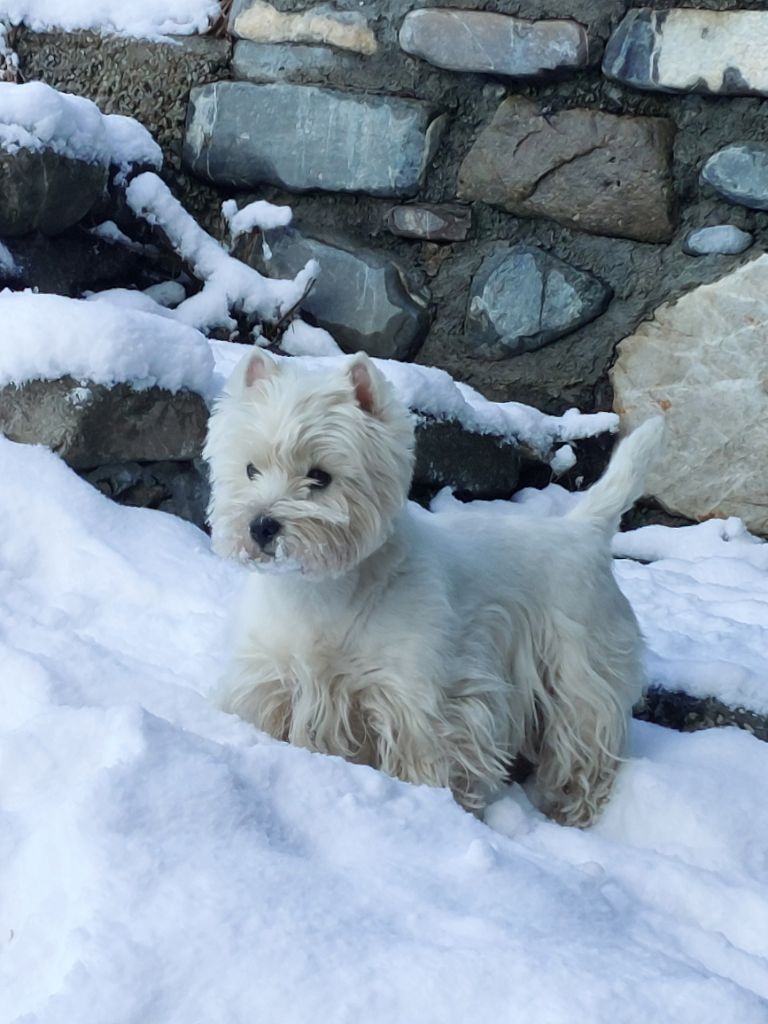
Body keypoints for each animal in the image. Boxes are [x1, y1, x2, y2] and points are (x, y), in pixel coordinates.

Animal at [207, 348, 663, 827]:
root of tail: (584, 528)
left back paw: (570, 809)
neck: (321, 593)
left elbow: (426, 757)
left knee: (585, 744)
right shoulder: (272, 679)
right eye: (250, 469)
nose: (260, 526)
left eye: (320, 477)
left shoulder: (416, 699)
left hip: (581, 668)